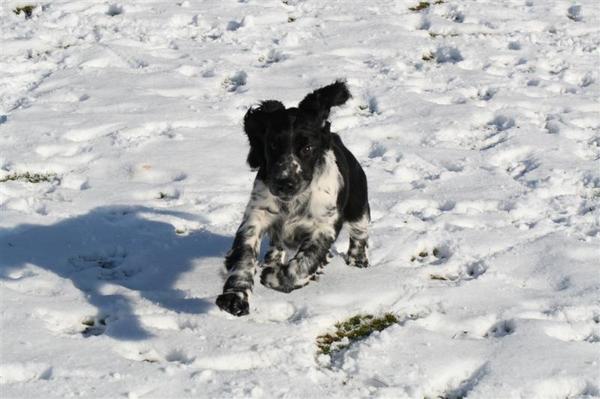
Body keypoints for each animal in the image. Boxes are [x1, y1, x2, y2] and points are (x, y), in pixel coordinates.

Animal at [213, 82, 368, 318]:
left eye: (307, 148)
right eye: (272, 145)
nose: (284, 182)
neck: (293, 200)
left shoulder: (324, 226)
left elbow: (305, 261)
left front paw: (275, 278)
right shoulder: (256, 216)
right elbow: (244, 255)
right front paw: (235, 297)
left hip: (359, 205)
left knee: (360, 232)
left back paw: (357, 260)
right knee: (277, 243)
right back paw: (272, 259)